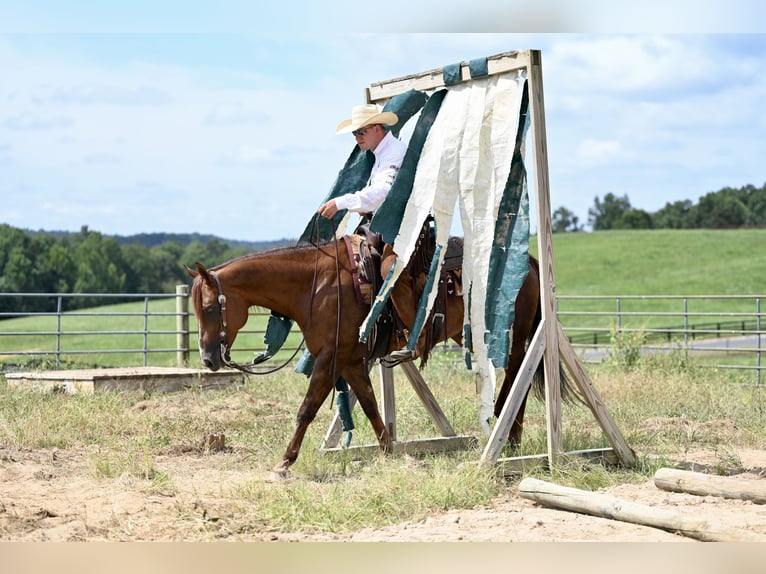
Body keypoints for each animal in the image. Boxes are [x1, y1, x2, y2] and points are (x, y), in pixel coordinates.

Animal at [186, 233, 561, 477]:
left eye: (210, 307)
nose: (208, 359)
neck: (316, 285)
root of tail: (528, 261)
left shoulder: (330, 359)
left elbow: (307, 409)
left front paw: (284, 462)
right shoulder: (350, 361)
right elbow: (369, 406)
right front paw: (389, 452)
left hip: (513, 339)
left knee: (517, 380)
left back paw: (510, 438)